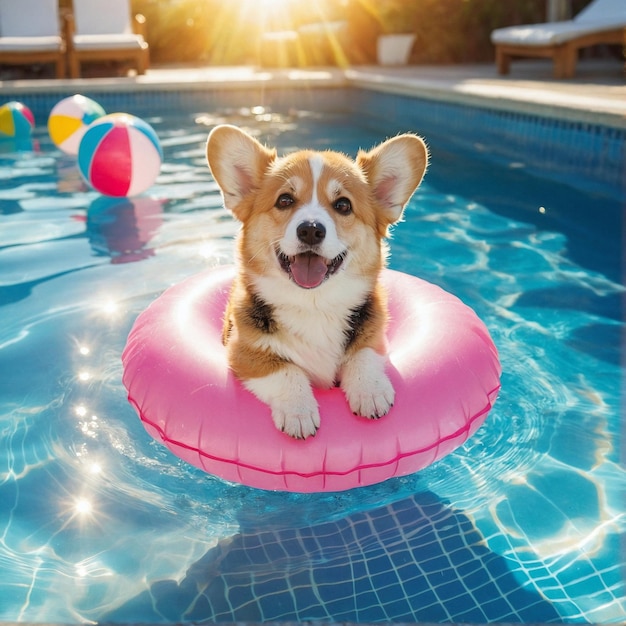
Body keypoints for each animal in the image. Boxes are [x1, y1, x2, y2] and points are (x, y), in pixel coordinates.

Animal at [207, 125, 426, 438]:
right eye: (285, 200)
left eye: (343, 205)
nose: (310, 230)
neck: (314, 304)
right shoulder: (243, 353)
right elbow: (286, 370)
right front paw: (298, 410)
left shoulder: (375, 338)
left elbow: (363, 354)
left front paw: (370, 391)